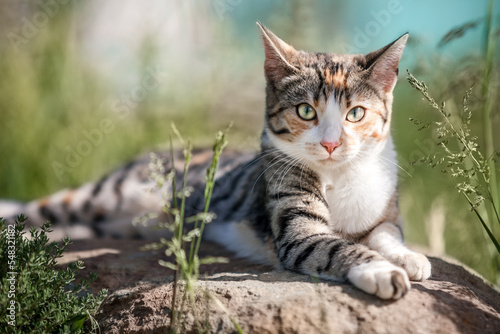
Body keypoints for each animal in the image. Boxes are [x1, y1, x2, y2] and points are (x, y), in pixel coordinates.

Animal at [0, 23, 432, 300]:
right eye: (306, 111)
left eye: (356, 114)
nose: (330, 143)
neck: (338, 173)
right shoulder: (297, 231)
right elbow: (335, 246)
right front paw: (381, 271)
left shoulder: (384, 207)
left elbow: (386, 232)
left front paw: (409, 258)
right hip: (108, 194)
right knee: (46, 206)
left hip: (124, 224)